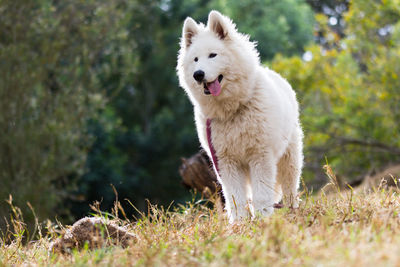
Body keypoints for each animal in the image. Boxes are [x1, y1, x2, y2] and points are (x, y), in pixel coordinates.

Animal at [177, 10, 302, 223]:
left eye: (213, 55)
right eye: (195, 59)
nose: (198, 74)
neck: (232, 111)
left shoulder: (260, 157)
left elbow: (261, 195)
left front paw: (262, 219)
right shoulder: (227, 163)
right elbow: (235, 197)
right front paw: (239, 223)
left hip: (289, 158)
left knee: (289, 187)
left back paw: (292, 210)